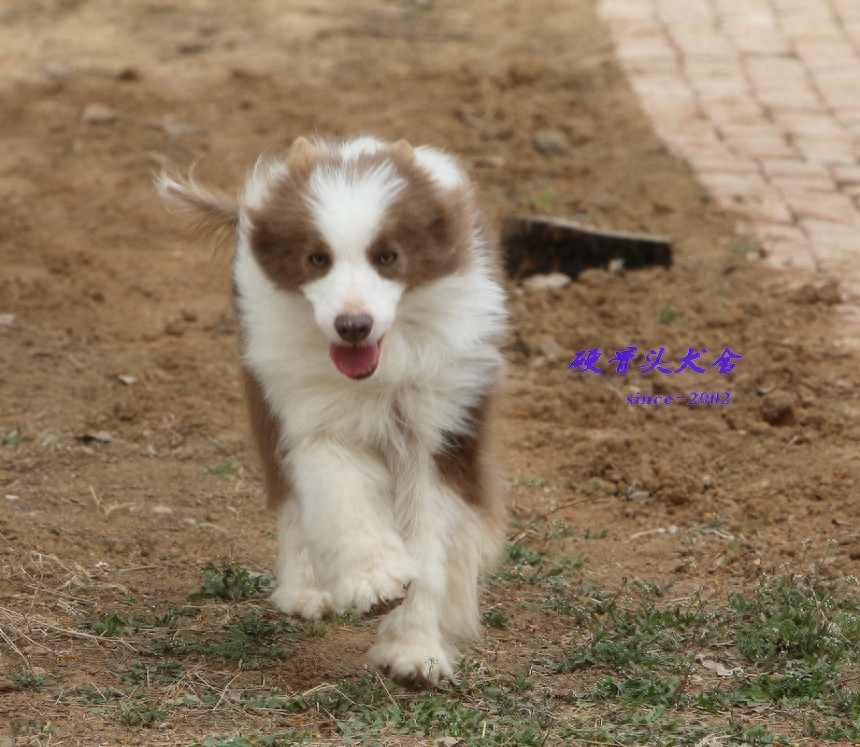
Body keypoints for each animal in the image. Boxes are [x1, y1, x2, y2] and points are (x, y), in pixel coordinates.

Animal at [158, 136, 508, 688]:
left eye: (388, 256)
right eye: (317, 258)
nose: (353, 326)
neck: (382, 371)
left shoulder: (444, 429)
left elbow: (432, 538)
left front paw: (413, 653)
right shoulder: (311, 412)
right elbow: (338, 490)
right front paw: (376, 581)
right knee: (293, 497)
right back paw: (307, 590)